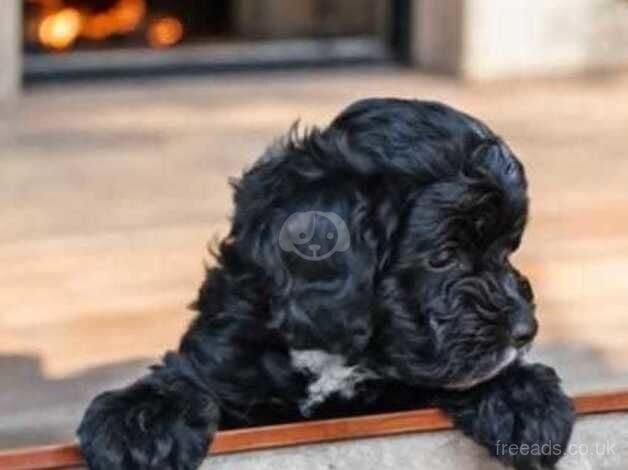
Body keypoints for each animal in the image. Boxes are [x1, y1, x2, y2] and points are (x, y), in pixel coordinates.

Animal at [77, 97, 576, 468]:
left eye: (507, 250)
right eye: (442, 257)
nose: (525, 331)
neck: (331, 351)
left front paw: (523, 395)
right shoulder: (225, 354)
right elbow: (186, 378)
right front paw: (136, 423)